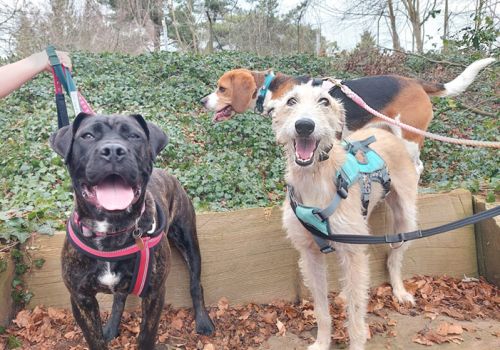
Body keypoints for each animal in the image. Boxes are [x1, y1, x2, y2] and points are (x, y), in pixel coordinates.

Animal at [50, 113, 215, 348]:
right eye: (87, 136)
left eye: (134, 136)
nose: (113, 150)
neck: (112, 229)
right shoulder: (81, 299)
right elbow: (95, 339)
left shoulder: (154, 293)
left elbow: (146, 335)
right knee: (119, 298)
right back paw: (111, 327)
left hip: (190, 243)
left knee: (195, 284)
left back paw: (203, 321)